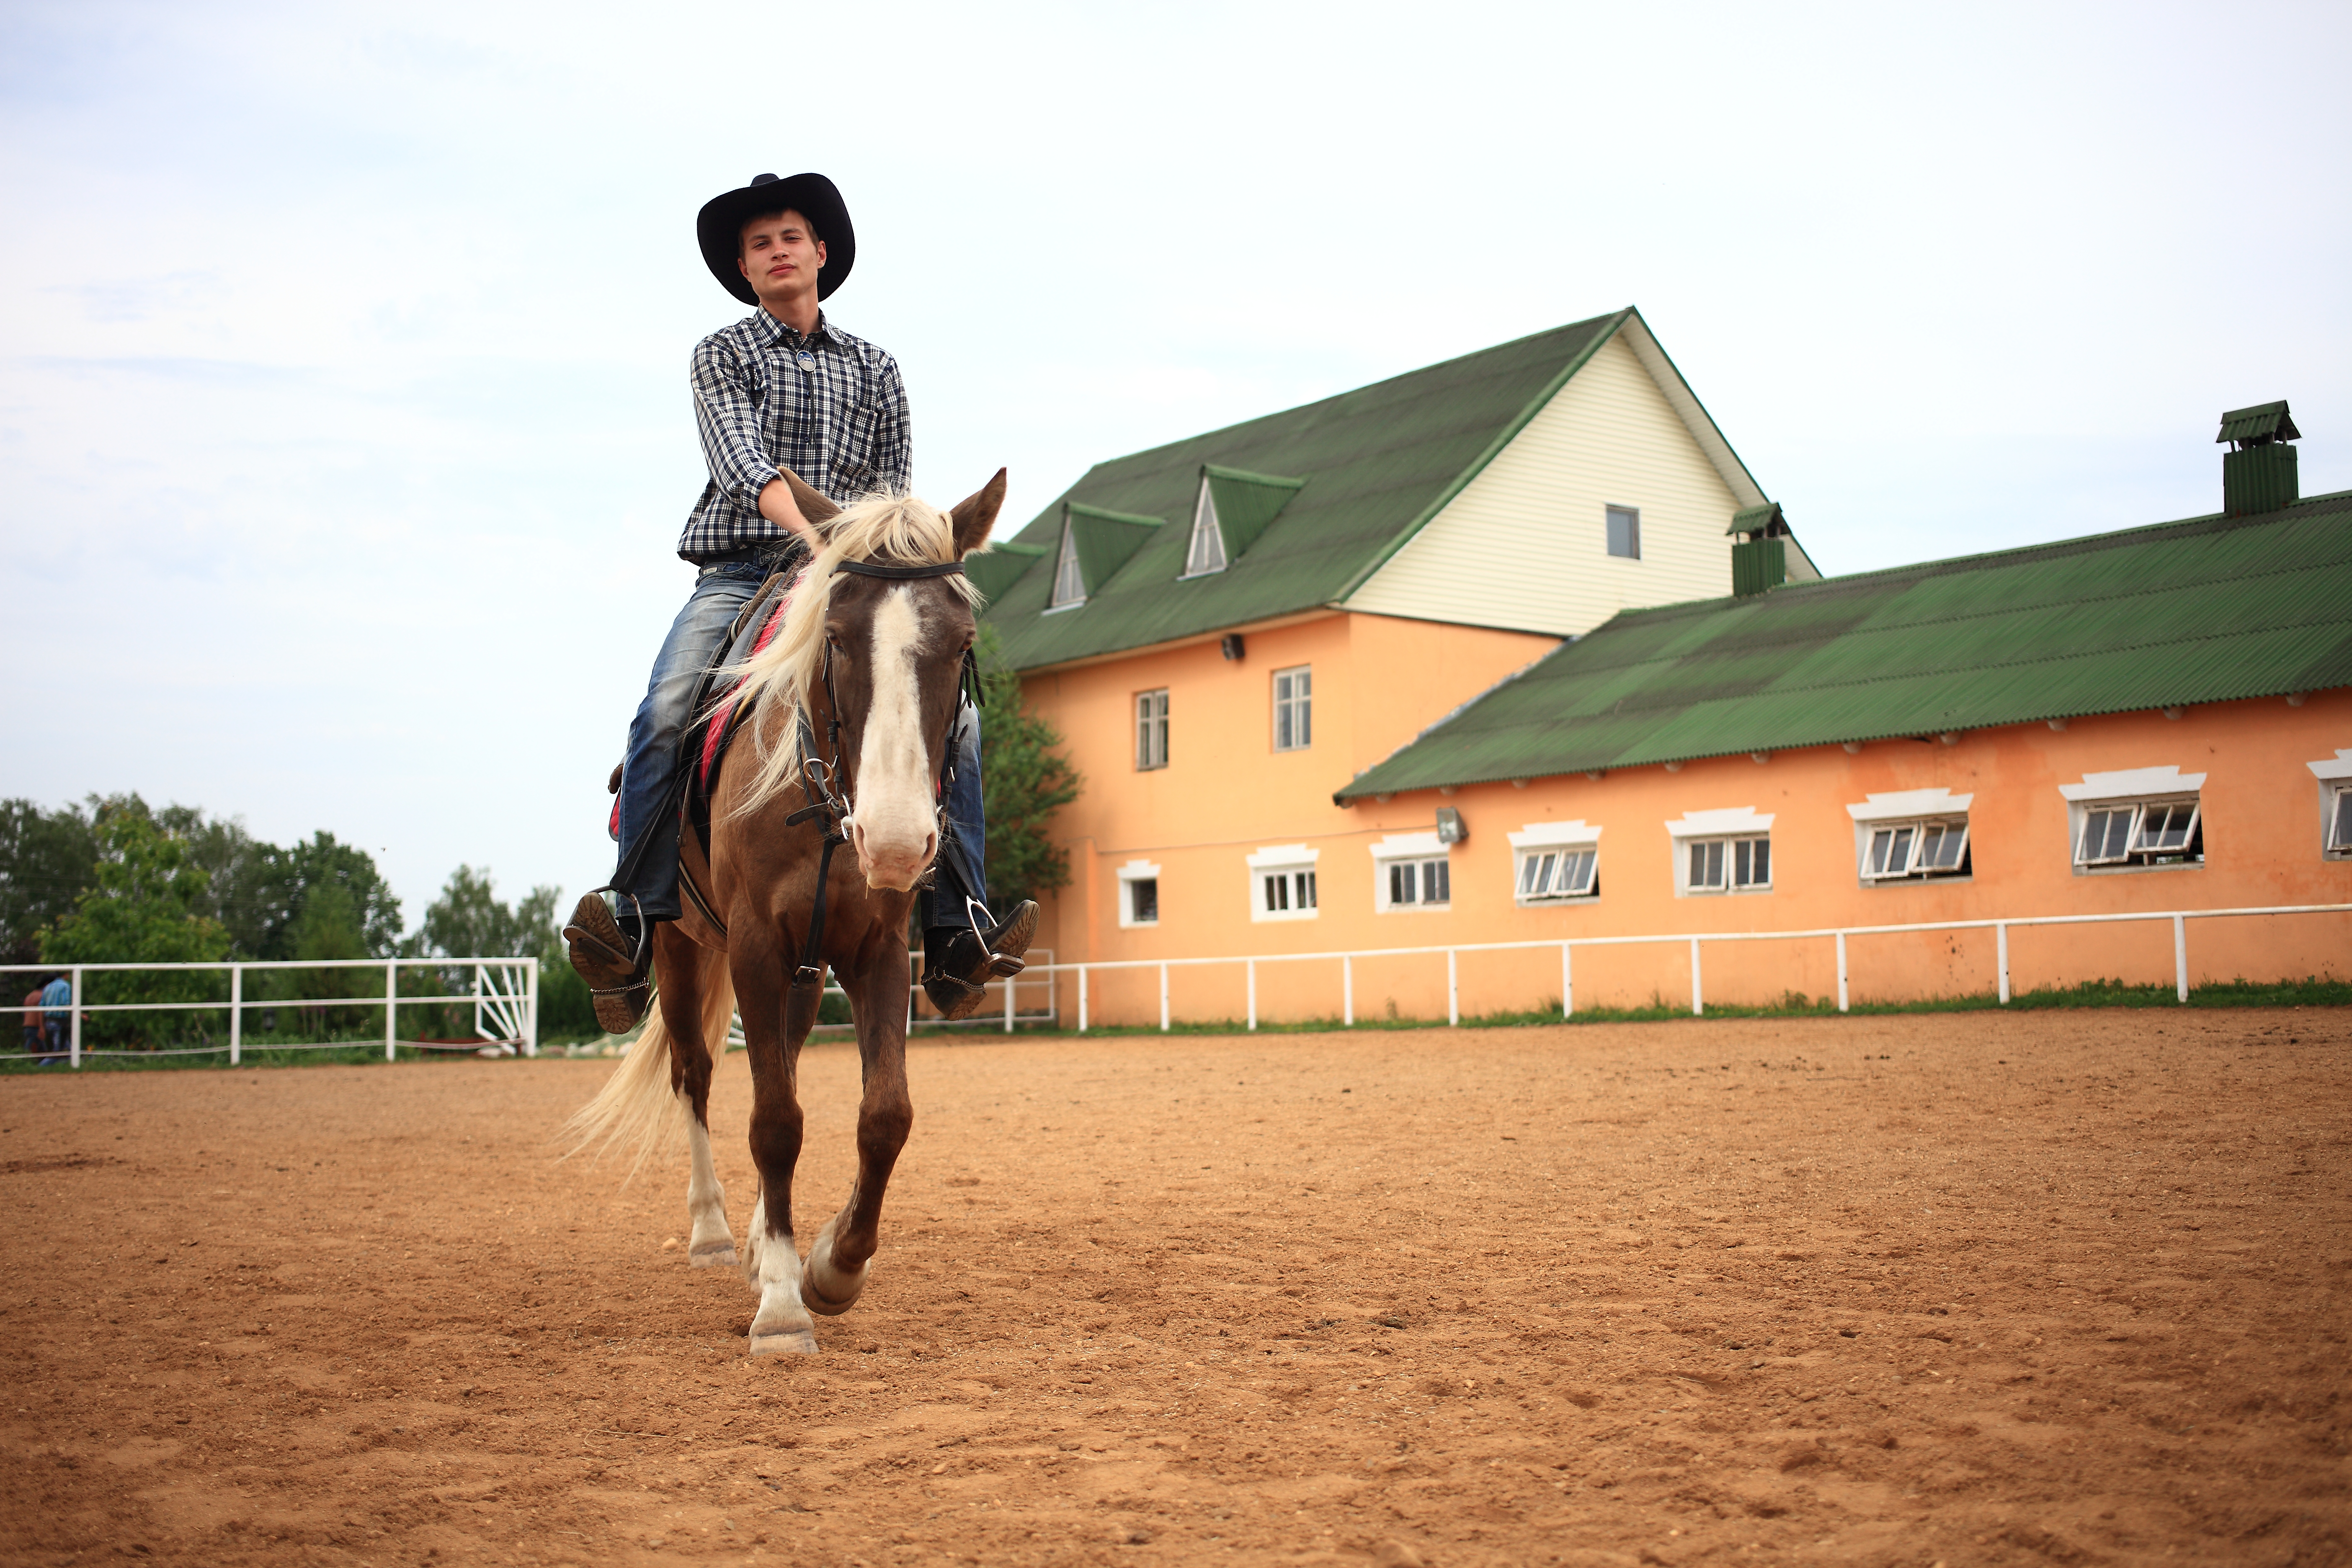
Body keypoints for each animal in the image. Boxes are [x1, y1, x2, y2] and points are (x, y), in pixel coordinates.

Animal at [571, 472, 1011, 1354]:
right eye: (835, 638)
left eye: (961, 641)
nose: (896, 837)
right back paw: (713, 1231)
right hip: (682, 950)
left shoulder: (876, 947)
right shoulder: (752, 946)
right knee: (695, 1075)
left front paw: (834, 1264)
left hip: (804, 974)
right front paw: (780, 1303)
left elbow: (884, 1114)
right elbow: (773, 1119)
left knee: (789, 1057)